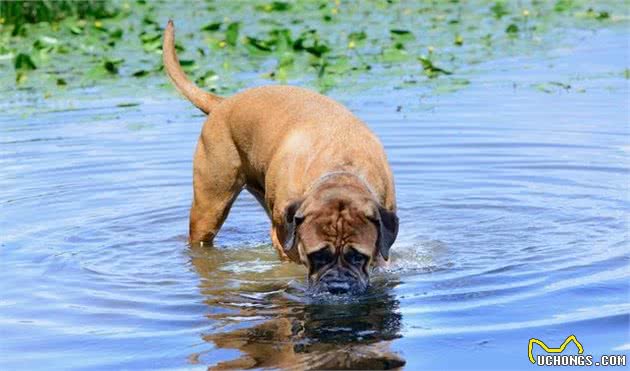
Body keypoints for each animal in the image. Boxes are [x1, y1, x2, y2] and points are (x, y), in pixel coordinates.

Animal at [164, 20, 400, 294]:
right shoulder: (286, 241)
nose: (337, 286)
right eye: (317, 255)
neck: (341, 170)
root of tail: (223, 102)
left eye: (358, 256)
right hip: (209, 207)